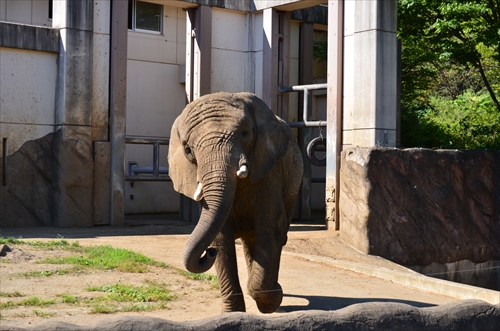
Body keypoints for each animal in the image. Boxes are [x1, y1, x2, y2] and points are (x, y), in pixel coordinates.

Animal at [168, 91, 302, 314]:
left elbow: (271, 227)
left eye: (245, 133)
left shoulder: (269, 172)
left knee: (276, 235)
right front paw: (232, 315)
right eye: (187, 149)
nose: (208, 253)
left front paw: (271, 301)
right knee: (251, 240)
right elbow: (220, 237)